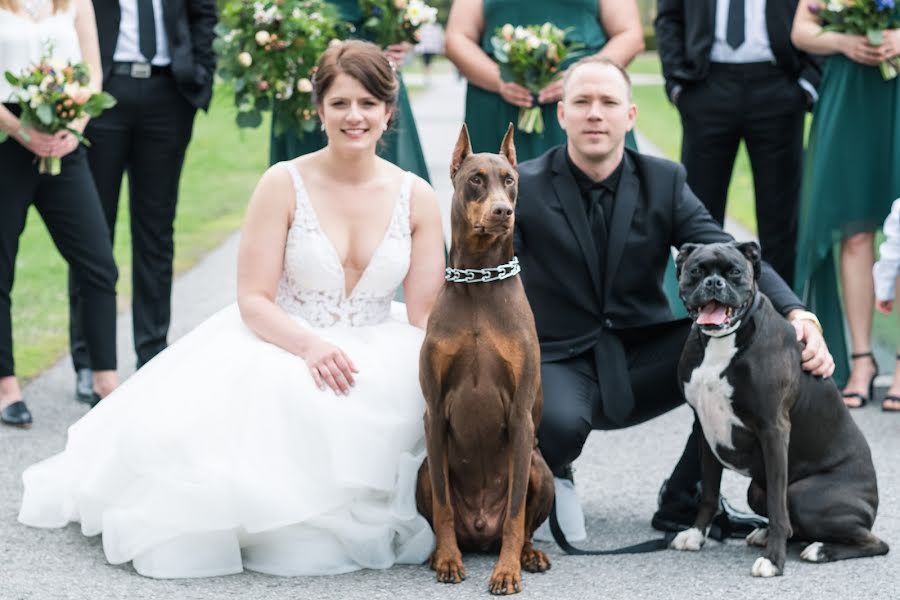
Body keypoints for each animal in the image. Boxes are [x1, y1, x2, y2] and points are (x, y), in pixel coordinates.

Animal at [668, 241, 884, 580]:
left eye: (734, 272)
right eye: (695, 271)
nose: (714, 283)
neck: (723, 342)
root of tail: (870, 504)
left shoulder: (774, 430)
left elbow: (778, 508)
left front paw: (774, 561)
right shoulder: (705, 428)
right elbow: (710, 492)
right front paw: (696, 534)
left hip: (806, 496)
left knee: (874, 542)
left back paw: (820, 549)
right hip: (756, 491)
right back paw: (767, 534)